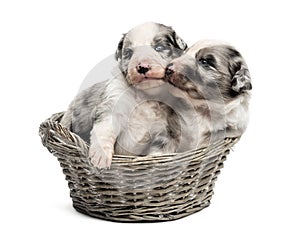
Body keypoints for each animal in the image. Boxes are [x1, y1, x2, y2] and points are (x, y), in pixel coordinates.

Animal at [61, 22, 188, 167]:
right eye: (128, 52)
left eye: (159, 47)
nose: (142, 67)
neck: (146, 95)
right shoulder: (113, 102)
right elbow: (105, 128)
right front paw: (100, 156)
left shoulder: (170, 130)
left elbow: (160, 150)